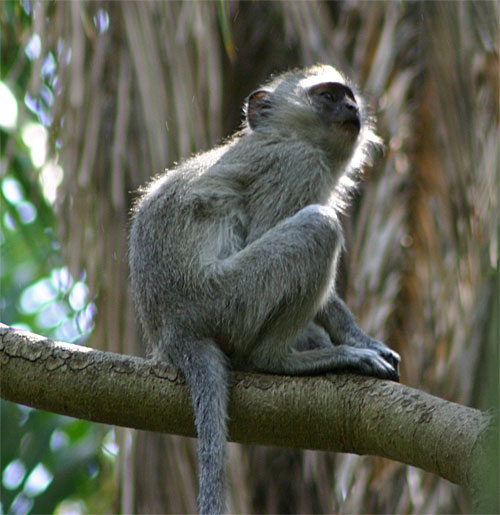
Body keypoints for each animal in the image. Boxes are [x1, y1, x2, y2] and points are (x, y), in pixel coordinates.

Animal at [130, 65, 402, 515]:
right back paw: (281, 359)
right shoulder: (296, 166)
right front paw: (356, 339)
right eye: (329, 96)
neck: (286, 135)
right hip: (227, 299)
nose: (352, 108)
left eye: (349, 96)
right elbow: (265, 231)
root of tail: (174, 329)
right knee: (319, 226)